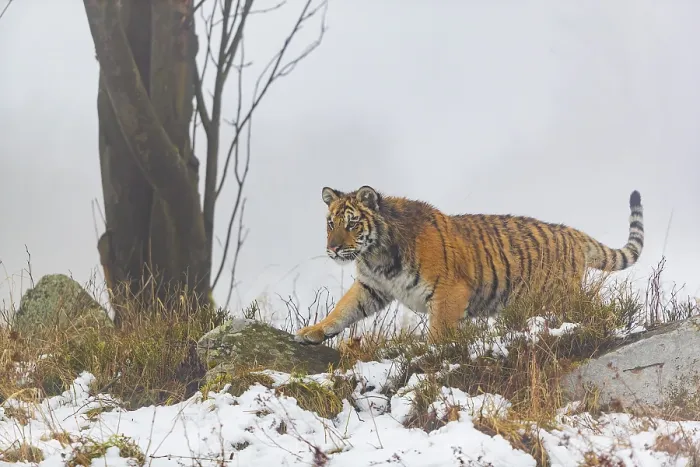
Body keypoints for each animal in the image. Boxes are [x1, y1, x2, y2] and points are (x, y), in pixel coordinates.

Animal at [294, 185, 644, 345]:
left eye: (352, 224)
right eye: (331, 224)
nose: (333, 248)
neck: (376, 255)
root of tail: (571, 231)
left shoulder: (449, 290)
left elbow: (439, 330)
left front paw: (429, 350)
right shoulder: (371, 288)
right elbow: (342, 309)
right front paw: (312, 331)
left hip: (561, 295)